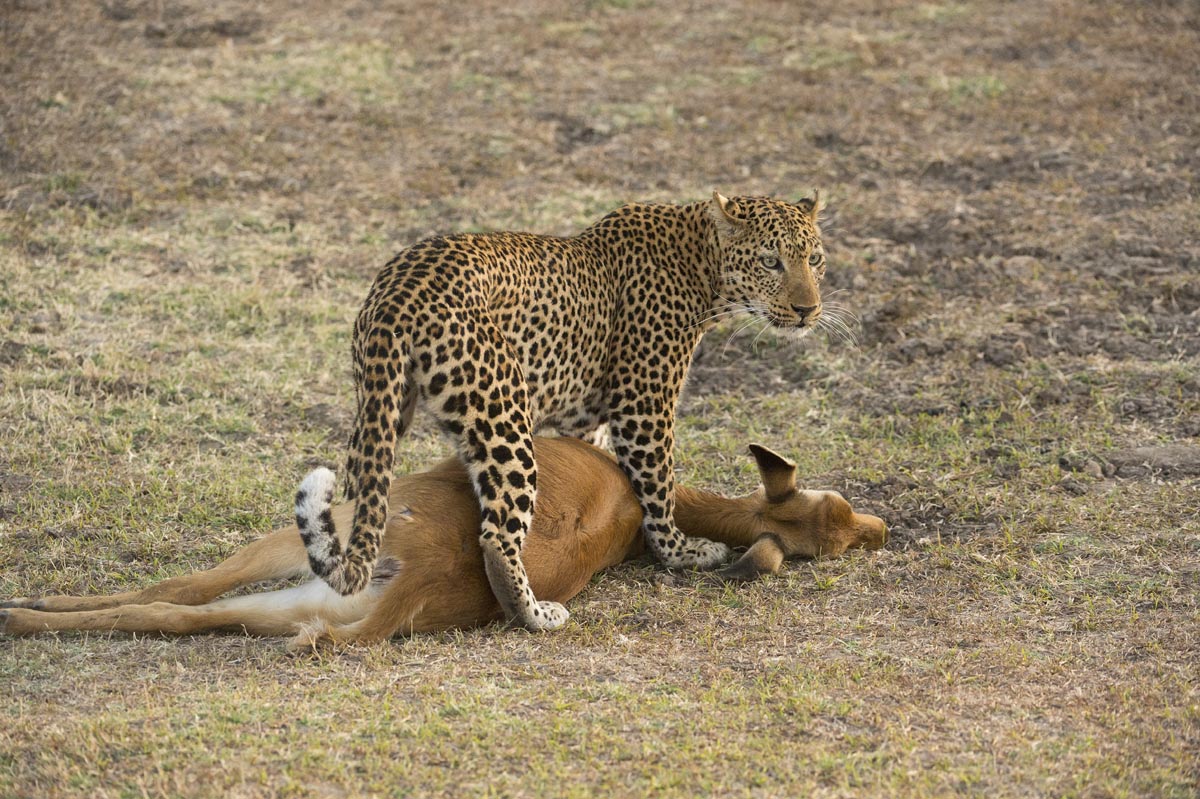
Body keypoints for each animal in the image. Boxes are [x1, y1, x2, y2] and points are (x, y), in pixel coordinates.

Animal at [302, 191, 825, 628]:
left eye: (815, 259)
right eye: (771, 261)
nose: (808, 310)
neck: (702, 263)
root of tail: (400, 289)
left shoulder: (586, 419)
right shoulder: (644, 403)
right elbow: (659, 484)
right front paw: (681, 553)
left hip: (380, 407)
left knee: (363, 496)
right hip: (502, 413)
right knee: (497, 534)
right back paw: (536, 615)